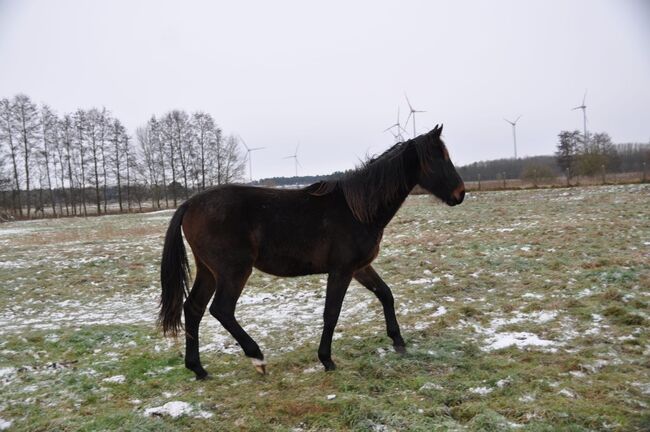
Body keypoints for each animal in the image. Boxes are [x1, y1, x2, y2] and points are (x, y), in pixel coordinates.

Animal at [159, 124, 464, 378]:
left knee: (194, 308)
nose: (460, 194)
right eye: (439, 158)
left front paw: (398, 342)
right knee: (221, 310)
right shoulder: (341, 271)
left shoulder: (360, 268)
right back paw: (257, 358)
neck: (358, 210)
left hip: (208, 270)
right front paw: (326, 360)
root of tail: (189, 204)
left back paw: (198, 369)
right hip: (233, 271)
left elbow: (385, 295)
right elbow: (332, 313)